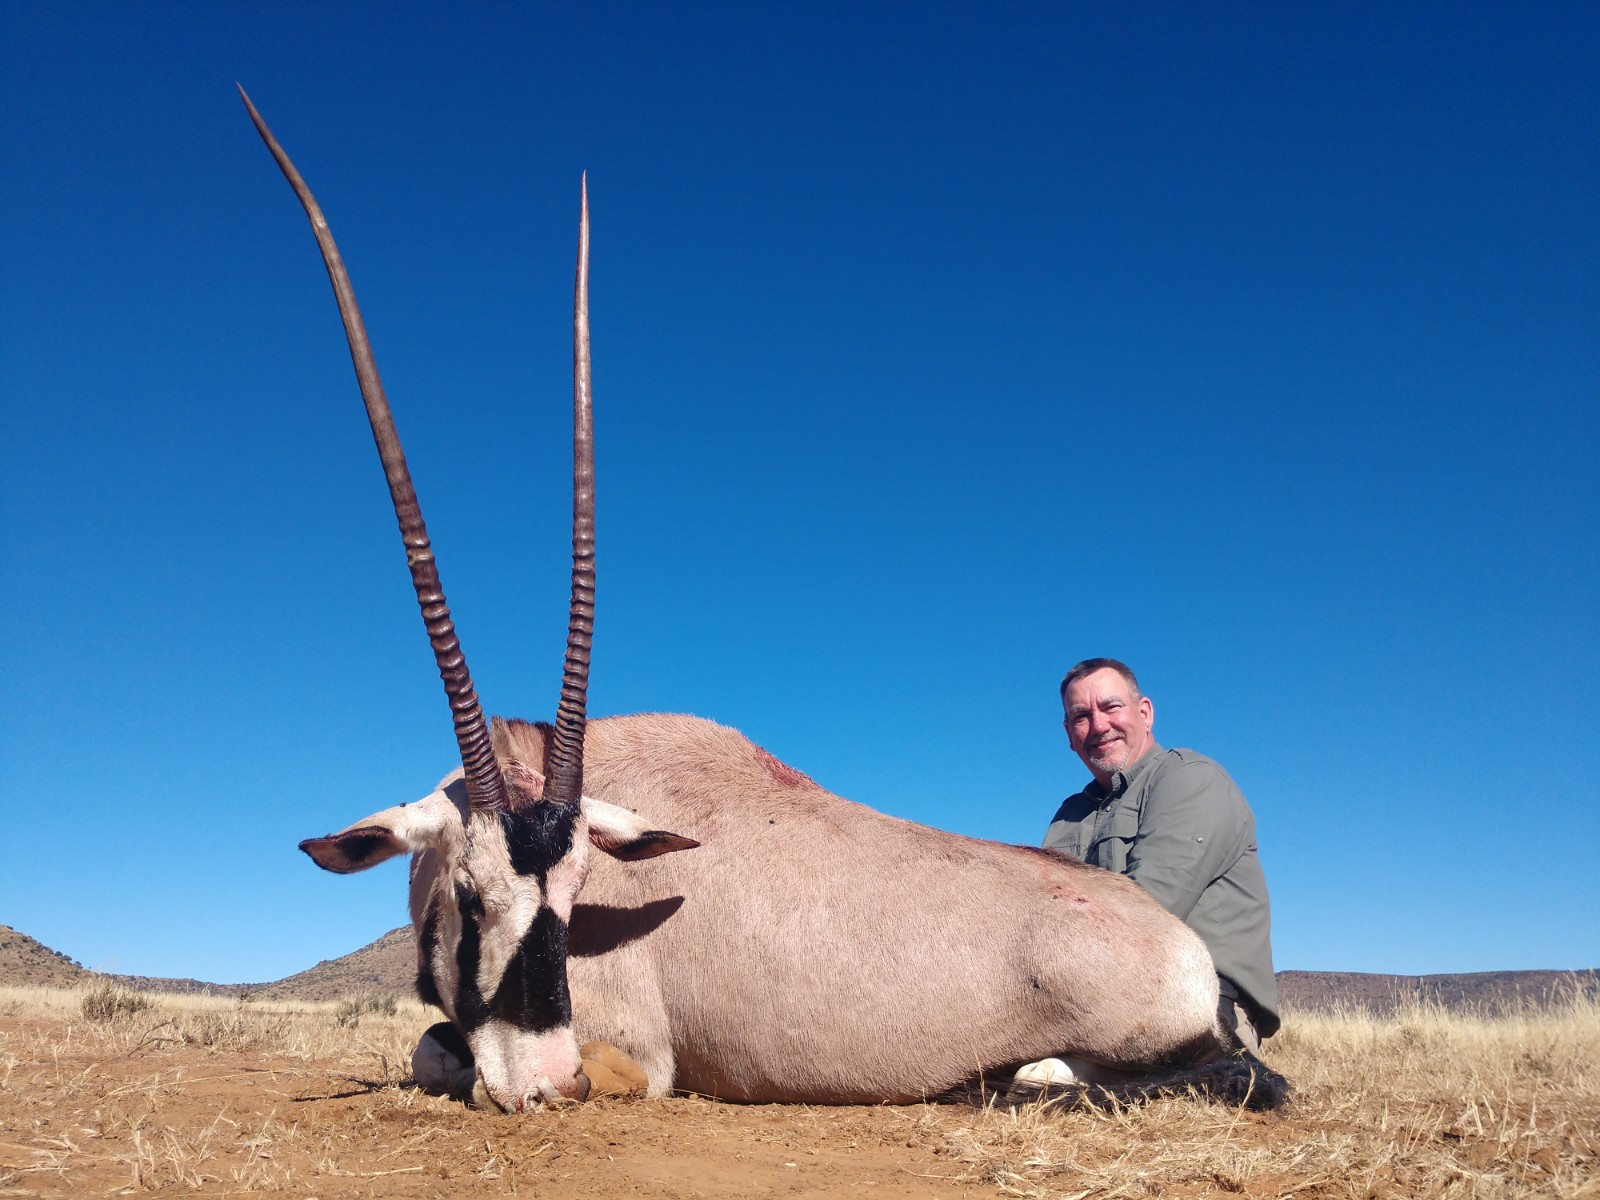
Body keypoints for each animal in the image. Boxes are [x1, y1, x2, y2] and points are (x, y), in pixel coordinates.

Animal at [243, 90, 1289, 1115]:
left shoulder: (638, 1057)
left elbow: (436, 1053)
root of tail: (1189, 955)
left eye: (578, 892)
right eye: (471, 895)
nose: (549, 1082)